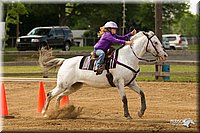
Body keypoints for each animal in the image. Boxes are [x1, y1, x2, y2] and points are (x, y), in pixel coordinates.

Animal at [40, 30, 169, 119]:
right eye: (155, 42)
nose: (165, 55)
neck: (128, 57)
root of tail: (65, 61)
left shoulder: (131, 83)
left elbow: (142, 94)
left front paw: (141, 112)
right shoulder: (119, 82)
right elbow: (124, 99)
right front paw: (127, 115)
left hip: (74, 86)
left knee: (59, 97)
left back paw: (58, 113)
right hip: (63, 85)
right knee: (50, 94)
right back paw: (44, 113)